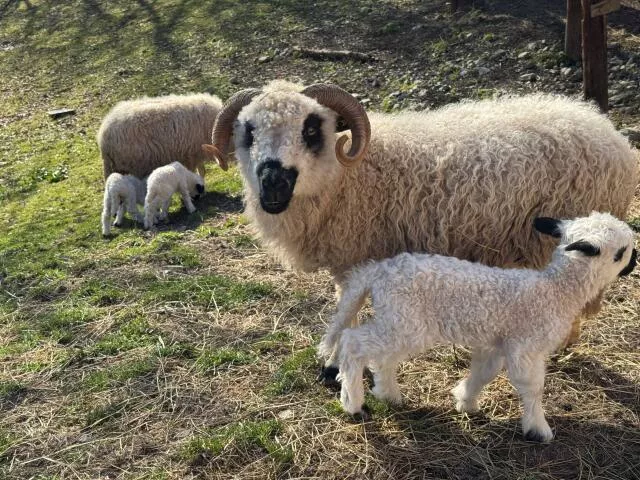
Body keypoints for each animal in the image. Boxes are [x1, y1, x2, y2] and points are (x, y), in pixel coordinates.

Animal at [206, 81, 639, 379]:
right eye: (248, 131)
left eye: (312, 129)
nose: (273, 184)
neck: (352, 176)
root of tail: (611, 134)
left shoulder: (360, 259)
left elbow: (348, 310)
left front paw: (334, 365)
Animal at [319, 212, 637, 442]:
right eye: (621, 252)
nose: (634, 263)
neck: (555, 291)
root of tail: (377, 270)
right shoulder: (526, 346)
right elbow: (531, 386)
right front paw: (538, 428)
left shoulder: (495, 344)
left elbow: (484, 373)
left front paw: (465, 401)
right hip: (404, 322)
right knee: (352, 342)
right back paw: (353, 402)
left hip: (399, 322)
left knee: (381, 357)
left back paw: (389, 395)